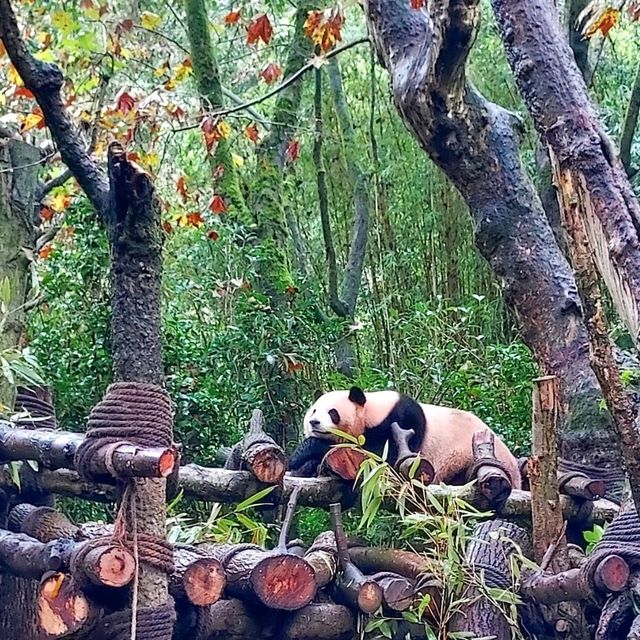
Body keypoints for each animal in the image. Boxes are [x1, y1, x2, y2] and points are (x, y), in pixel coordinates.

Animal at [288, 388, 520, 488]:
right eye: (314, 410)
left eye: (332, 412)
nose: (313, 422)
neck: (370, 411)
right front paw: (302, 464)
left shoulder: (400, 421)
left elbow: (378, 457)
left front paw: (309, 448)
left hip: (465, 459)